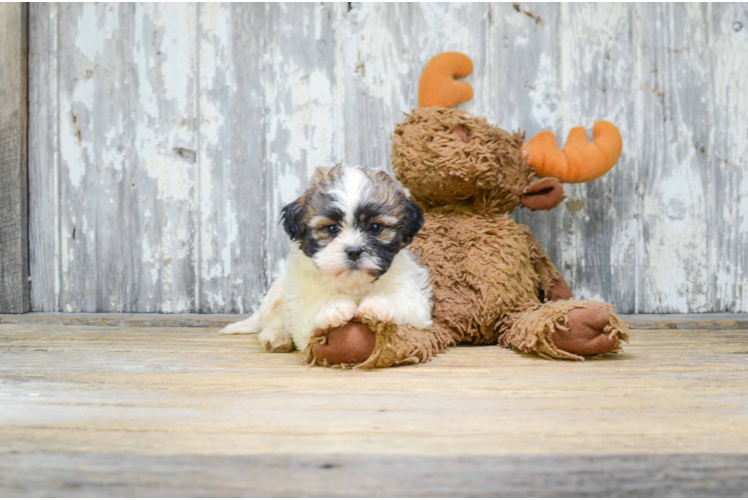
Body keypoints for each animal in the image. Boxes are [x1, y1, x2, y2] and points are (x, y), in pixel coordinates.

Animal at [221, 162, 432, 354]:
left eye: (375, 227)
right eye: (331, 229)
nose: (354, 250)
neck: (353, 284)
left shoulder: (415, 299)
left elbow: (406, 303)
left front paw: (378, 306)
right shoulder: (300, 306)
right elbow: (309, 311)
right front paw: (334, 307)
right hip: (277, 291)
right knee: (272, 320)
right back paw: (276, 336)